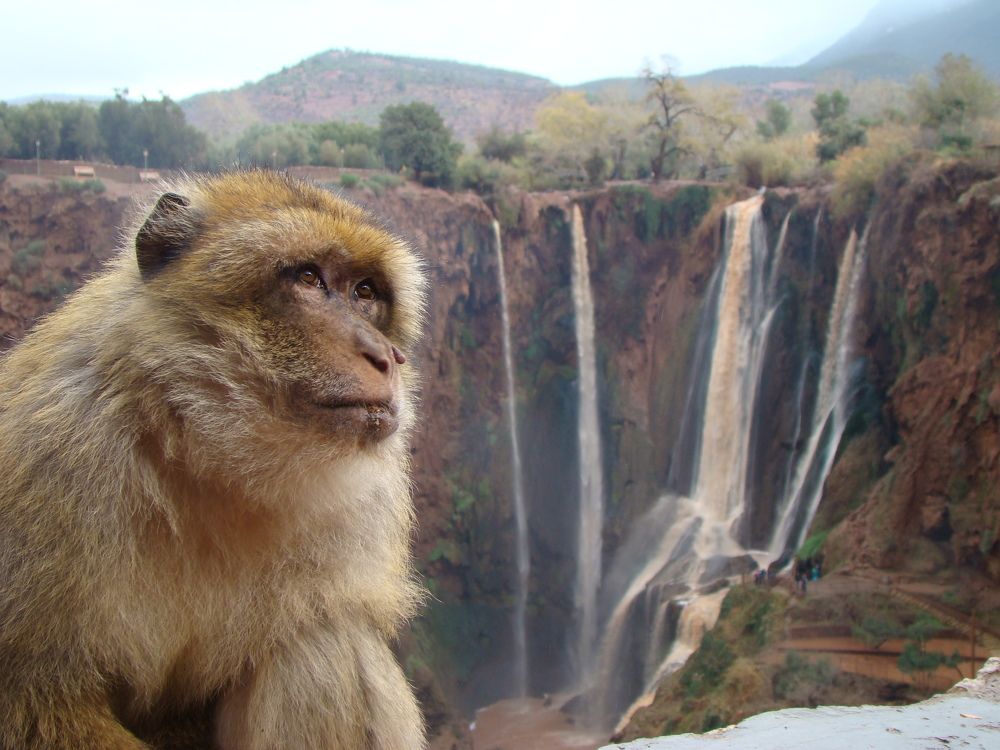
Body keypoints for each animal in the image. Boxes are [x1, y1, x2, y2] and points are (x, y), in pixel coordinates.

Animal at [0, 170, 428, 749]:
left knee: (320, 644)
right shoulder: (50, 459)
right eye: (308, 278)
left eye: (365, 292)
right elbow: (36, 696)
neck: (204, 452)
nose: (386, 356)